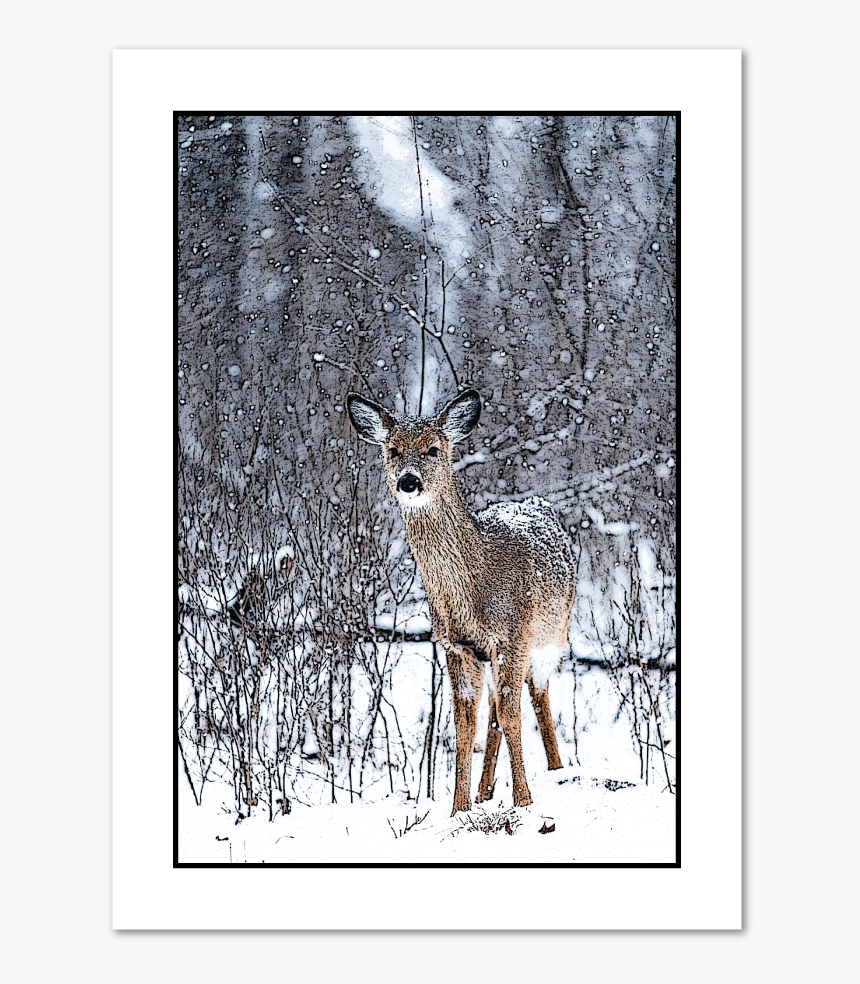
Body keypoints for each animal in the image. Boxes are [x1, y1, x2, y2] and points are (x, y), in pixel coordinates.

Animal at [347, 388, 576, 816]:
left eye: (434, 449)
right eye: (393, 449)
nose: (408, 480)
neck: (472, 591)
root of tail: (537, 502)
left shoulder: (514, 636)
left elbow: (512, 714)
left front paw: (524, 800)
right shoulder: (456, 645)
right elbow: (464, 724)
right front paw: (460, 807)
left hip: (552, 635)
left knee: (537, 696)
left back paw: (557, 770)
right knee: (494, 713)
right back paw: (486, 790)